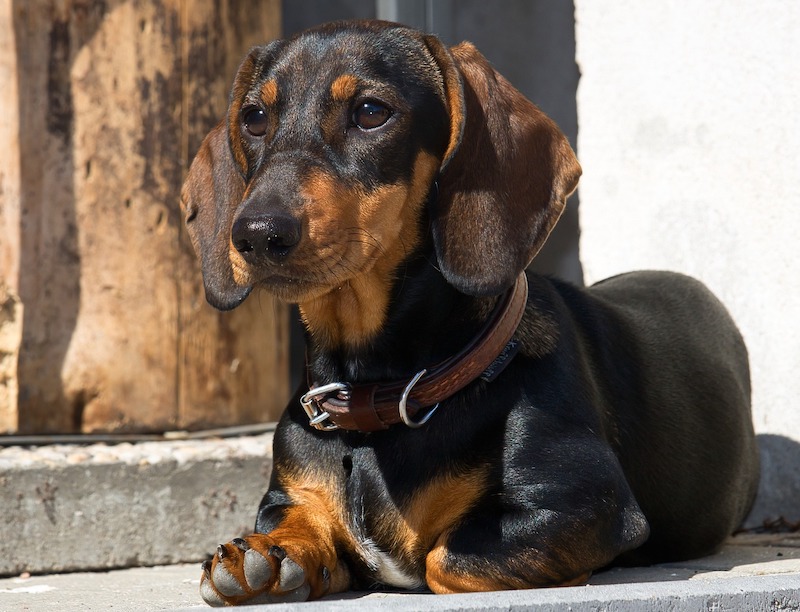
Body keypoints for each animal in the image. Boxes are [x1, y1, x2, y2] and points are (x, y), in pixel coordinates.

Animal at [178, 19, 760, 608]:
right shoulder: (286, 496)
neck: (379, 399)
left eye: (371, 111)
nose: (256, 234)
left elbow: (444, 558)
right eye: (254, 117)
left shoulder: (580, 503)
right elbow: (295, 521)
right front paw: (268, 556)